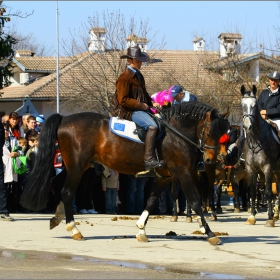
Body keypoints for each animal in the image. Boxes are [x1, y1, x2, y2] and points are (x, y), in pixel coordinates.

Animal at [21, 101, 228, 245]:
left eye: (222, 134)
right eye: (209, 132)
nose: (211, 160)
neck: (176, 133)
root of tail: (64, 119)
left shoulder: (163, 176)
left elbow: (151, 201)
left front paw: (141, 230)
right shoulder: (183, 173)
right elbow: (195, 202)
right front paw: (210, 233)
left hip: (78, 166)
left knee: (57, 185)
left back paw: (57, 217)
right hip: (78, 167)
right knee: (67, 191)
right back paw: (74, 229)